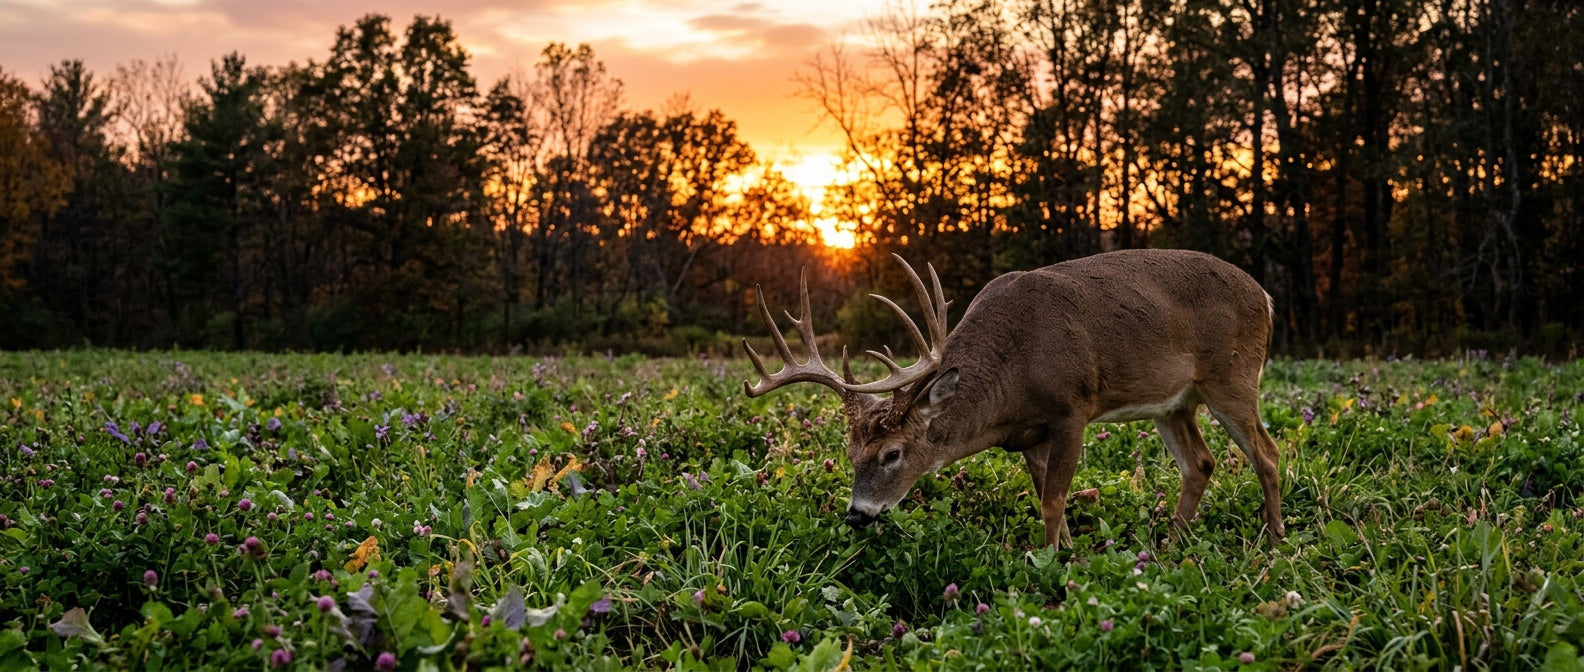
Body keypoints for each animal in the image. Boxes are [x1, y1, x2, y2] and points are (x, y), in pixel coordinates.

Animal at [742, 249, 1284, 550]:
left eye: (892, 454)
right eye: (849, 454)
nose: (857, 514)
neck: (1012, 377)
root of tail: (1265, 295)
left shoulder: (1072, 409)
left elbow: (1053, 500)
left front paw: (1050, 569)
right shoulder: (1028, 435)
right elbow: (1049, 498)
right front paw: (1064, 554)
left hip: (1233, 376)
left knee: (1267, 452)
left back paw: (1275, 539)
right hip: (1175, 403)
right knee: (1201, 463)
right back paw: (1171, 546)